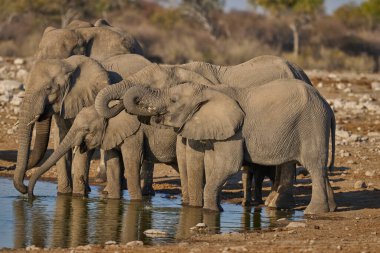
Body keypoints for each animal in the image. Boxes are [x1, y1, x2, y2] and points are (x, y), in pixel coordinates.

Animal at [26, 105, 178, 200]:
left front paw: (136, 202)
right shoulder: (111, 135)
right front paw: (114, 199)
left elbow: (132, 164)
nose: (32, 195)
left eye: (86, 129)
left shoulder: (134, 136)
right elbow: (114, 166)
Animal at [94, 54, 312, 208]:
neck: (180, 69)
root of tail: (301, 73)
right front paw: (188, 203)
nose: (120, 104)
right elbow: (183, 153)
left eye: (148, 87)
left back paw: (277, 204)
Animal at [121, 80, 336, 214]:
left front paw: (210, 211)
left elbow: (228, 166)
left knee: (314, 165)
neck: (208, 90)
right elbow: (213, 164)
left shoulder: (235, 131)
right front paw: (216, 209)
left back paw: (313, 211)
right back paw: (330, 209)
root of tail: (327, 106)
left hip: (312, 124)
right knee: (319, 168)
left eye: (173, 100)